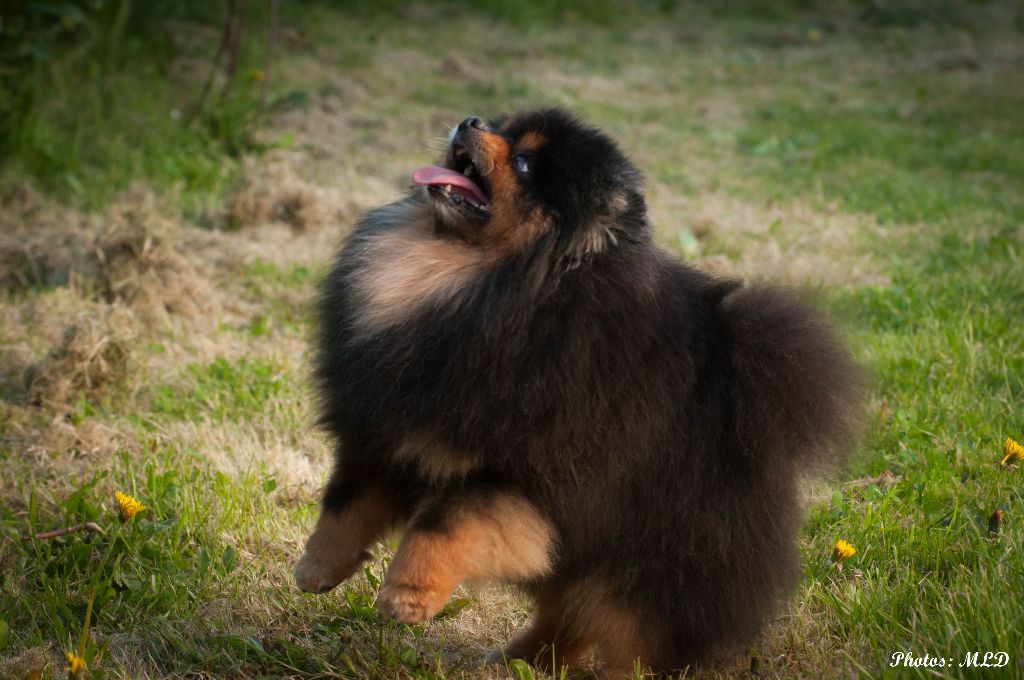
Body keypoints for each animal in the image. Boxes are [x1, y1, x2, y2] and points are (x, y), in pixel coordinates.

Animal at [296, 110, 864, 675]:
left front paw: (407, 595)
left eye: (525, 162)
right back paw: (516, 660)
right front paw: (315, 567)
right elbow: (344, 501)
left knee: (632, 639)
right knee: (570, 615)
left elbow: (443, 522)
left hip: (646, 562)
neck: (482, 280)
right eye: (501, 126)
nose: (470, 119)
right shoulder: (387, 431)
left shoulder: (527, 472)